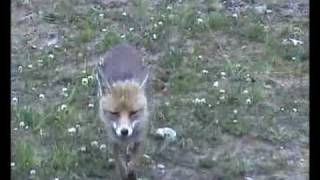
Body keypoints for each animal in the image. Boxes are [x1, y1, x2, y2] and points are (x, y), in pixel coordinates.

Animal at [95, 43, 149, 179]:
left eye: (133, 112)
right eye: (114, 113)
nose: (124, 131)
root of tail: (123, 44)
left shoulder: (141, 137)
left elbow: (134, 162)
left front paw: (131, 172)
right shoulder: (113, 139)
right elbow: (119, 163)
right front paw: (124, 173)